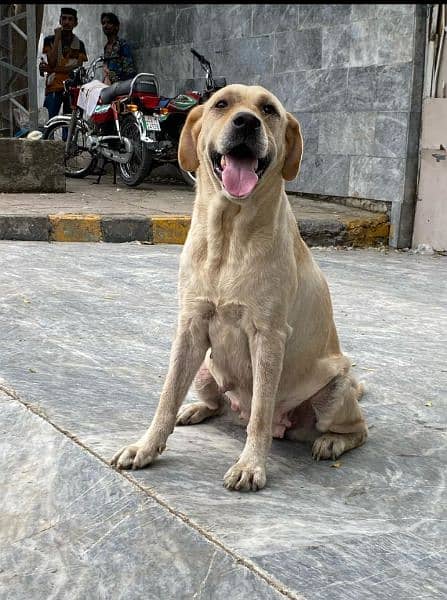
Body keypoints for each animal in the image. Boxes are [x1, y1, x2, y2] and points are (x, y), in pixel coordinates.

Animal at [111, 84, 368, 490]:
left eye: (269, 110)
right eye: (221, 104)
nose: (246, 122)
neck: (229, 235)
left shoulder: (268, 336)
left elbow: (261, 413)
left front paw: (251, 465)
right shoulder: (190, 326)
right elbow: (166, 397)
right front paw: (146, 446)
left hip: (335, 389)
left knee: (358, 429)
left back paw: (331, 441)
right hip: (205, 368)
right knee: (217, 403)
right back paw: (197, 408)